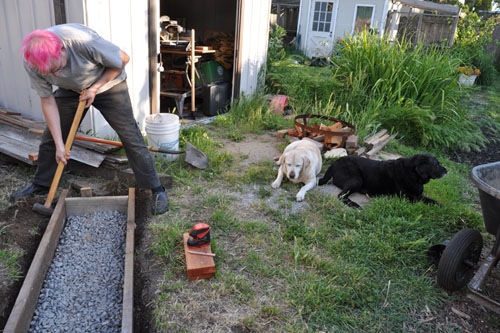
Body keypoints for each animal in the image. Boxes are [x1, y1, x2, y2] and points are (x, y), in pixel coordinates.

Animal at [320, 154, 450, 206]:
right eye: (436, 164)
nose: (447, 171)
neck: (413, 174)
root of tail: (334, 163)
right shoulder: (409, 197)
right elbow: (428, 200)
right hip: (357, 179)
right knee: (341, 196)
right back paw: (355, 205)